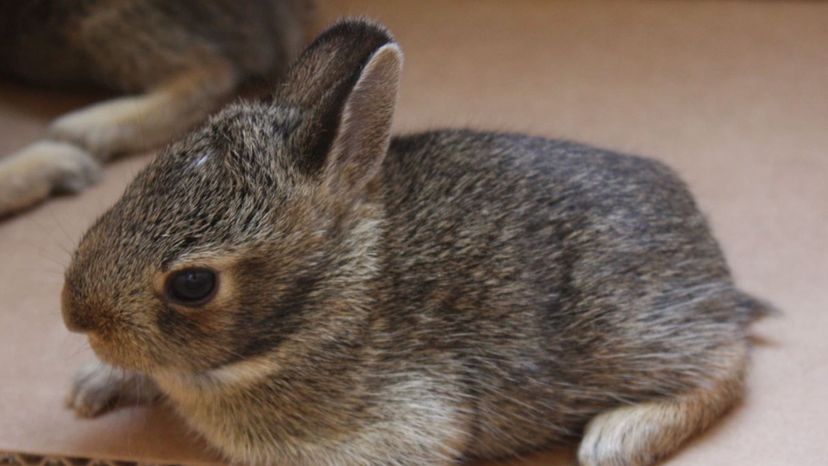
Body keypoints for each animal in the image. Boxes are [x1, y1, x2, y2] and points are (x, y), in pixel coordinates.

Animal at [59, 17, 768, 466]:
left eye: (193, 284)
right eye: (139, 182)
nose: (75, 316)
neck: (331, 302)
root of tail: (712, 258)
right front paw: (89, 389)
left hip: (640, 335)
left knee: (726, 367)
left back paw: (616, 438)